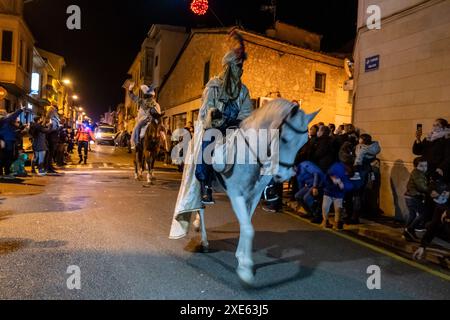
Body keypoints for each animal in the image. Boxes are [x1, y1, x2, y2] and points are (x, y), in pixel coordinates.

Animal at [192, 99, 316, 284]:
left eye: (303, 143)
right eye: (284, 138)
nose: (284, 175)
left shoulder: (254, 195)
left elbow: (246, 225)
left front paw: (241, 257)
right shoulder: (236, 194)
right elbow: (248, 228)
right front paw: (245, 268)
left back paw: (196, 225)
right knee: (200, 208)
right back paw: (204, 241)